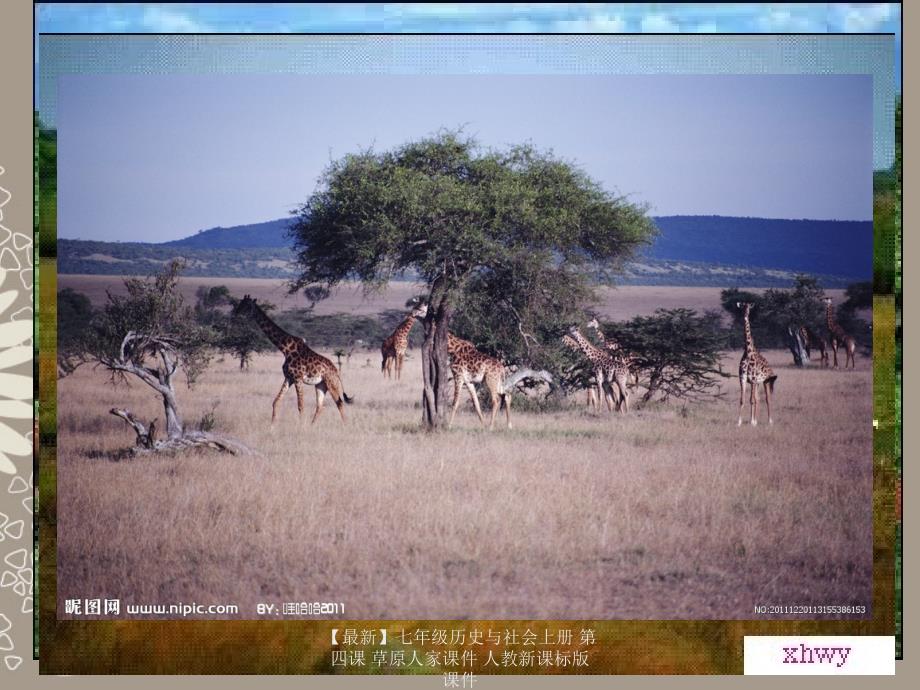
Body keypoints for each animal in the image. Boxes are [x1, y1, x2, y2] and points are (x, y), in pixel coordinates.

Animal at [234, 296, 352, 424]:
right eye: (240, 303)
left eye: (246, 305)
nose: (236, 314)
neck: (285, 348)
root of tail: (336, 372)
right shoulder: (288, 378)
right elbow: (276, 401)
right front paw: (272, 425)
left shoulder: (297, 378)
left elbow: (300, 405)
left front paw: (301, 426)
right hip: (321, 385)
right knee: (320, 406)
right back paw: (312, 426)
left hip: (331, 384)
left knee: (339, 403)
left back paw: (345, 425)